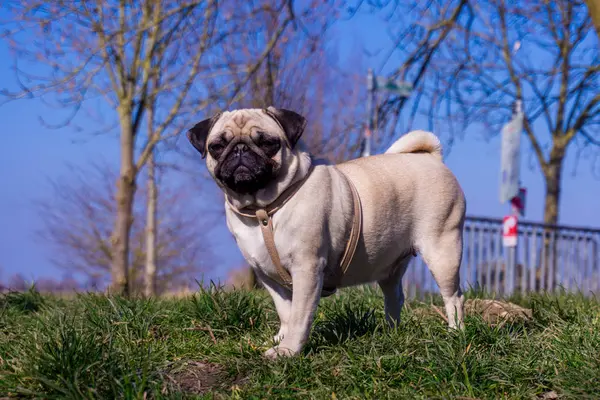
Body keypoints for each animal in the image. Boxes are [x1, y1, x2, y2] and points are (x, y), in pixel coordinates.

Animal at [188, 107, 468, 360]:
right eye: (217, 146)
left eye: (268, 143)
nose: (240, 149)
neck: (263, 210)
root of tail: (431, 159)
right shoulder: (268, 277)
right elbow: (285, 312)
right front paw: (281, 339)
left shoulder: (307, 269)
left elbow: (299, 315)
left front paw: (288, 351)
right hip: (391, 266)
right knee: (395, 297)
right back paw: (392, 332)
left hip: (442, 250)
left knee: (453, 297)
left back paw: (455, 333)